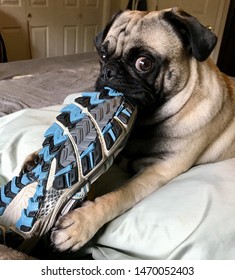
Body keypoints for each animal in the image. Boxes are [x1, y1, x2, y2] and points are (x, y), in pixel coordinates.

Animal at [25, 7, 235, 252]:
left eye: (144, 63)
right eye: (103, 56)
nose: (108, 71)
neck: (147, 121)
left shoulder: (158, 171)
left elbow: (119, 194)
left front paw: (82, 222)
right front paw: (42, 159)